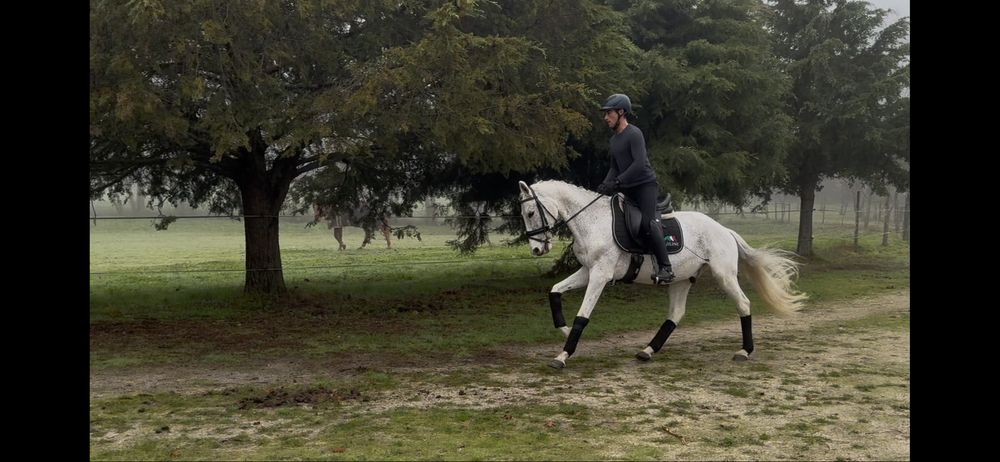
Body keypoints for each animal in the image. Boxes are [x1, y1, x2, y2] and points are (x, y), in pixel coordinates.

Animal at [517, 180, 808, 369]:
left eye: (530, 212)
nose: (536, 249)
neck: (593, 221)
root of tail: (723, 229)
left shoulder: (600, 274)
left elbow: (583, 316)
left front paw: (563, 355)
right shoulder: (588, 271)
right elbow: (554, 291)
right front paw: (563, 330)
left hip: (723, 275)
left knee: (744, 304)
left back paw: (744, 351)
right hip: (681, 279)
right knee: (675, 314)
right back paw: (648, 350)